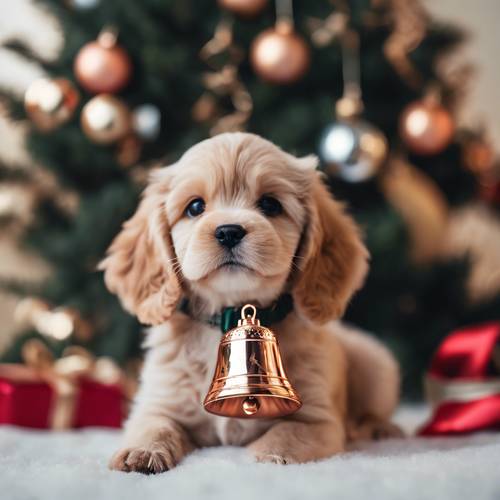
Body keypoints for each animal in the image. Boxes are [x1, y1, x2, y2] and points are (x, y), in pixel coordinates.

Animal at [101, 130, 402, 472]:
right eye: (195, 207)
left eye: (270, 204)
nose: (229, 231)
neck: (230, 312)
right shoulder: (159, 402)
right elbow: (154, 426)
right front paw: (142, 452)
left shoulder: (318, 421)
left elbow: (288, 432)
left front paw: (270, 455)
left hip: (376, 363)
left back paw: (380, 428)